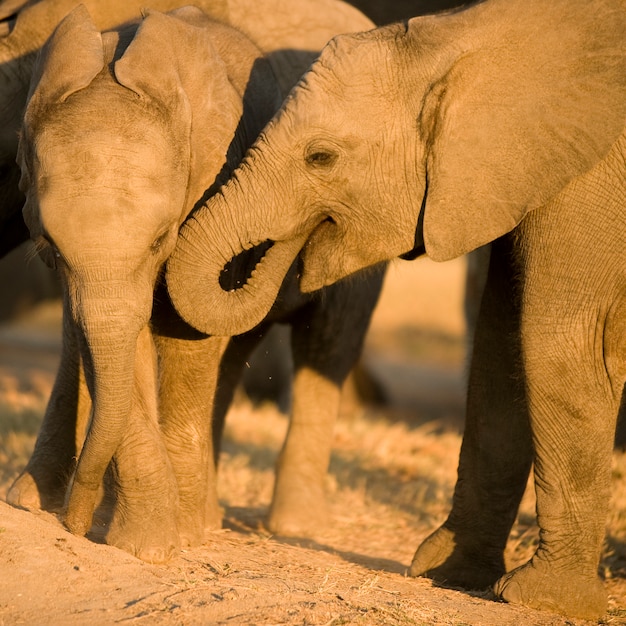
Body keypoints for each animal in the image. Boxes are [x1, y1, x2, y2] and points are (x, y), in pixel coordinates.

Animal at [9, 2, 380, 560]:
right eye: (47, 243)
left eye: (162, 238)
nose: (72, 522)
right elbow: (114, 340)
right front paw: (145, 541)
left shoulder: (218, 174)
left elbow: (185, 338)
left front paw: (167, 541)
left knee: (328, 342)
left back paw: (288, 525)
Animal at [165, 0, 624, 616]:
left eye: (320, 157)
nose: (286, 249)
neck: (463, 38)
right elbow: (501, 344)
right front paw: (446, 573)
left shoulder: (589, 181)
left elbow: (559, 341)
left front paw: (542, 601)